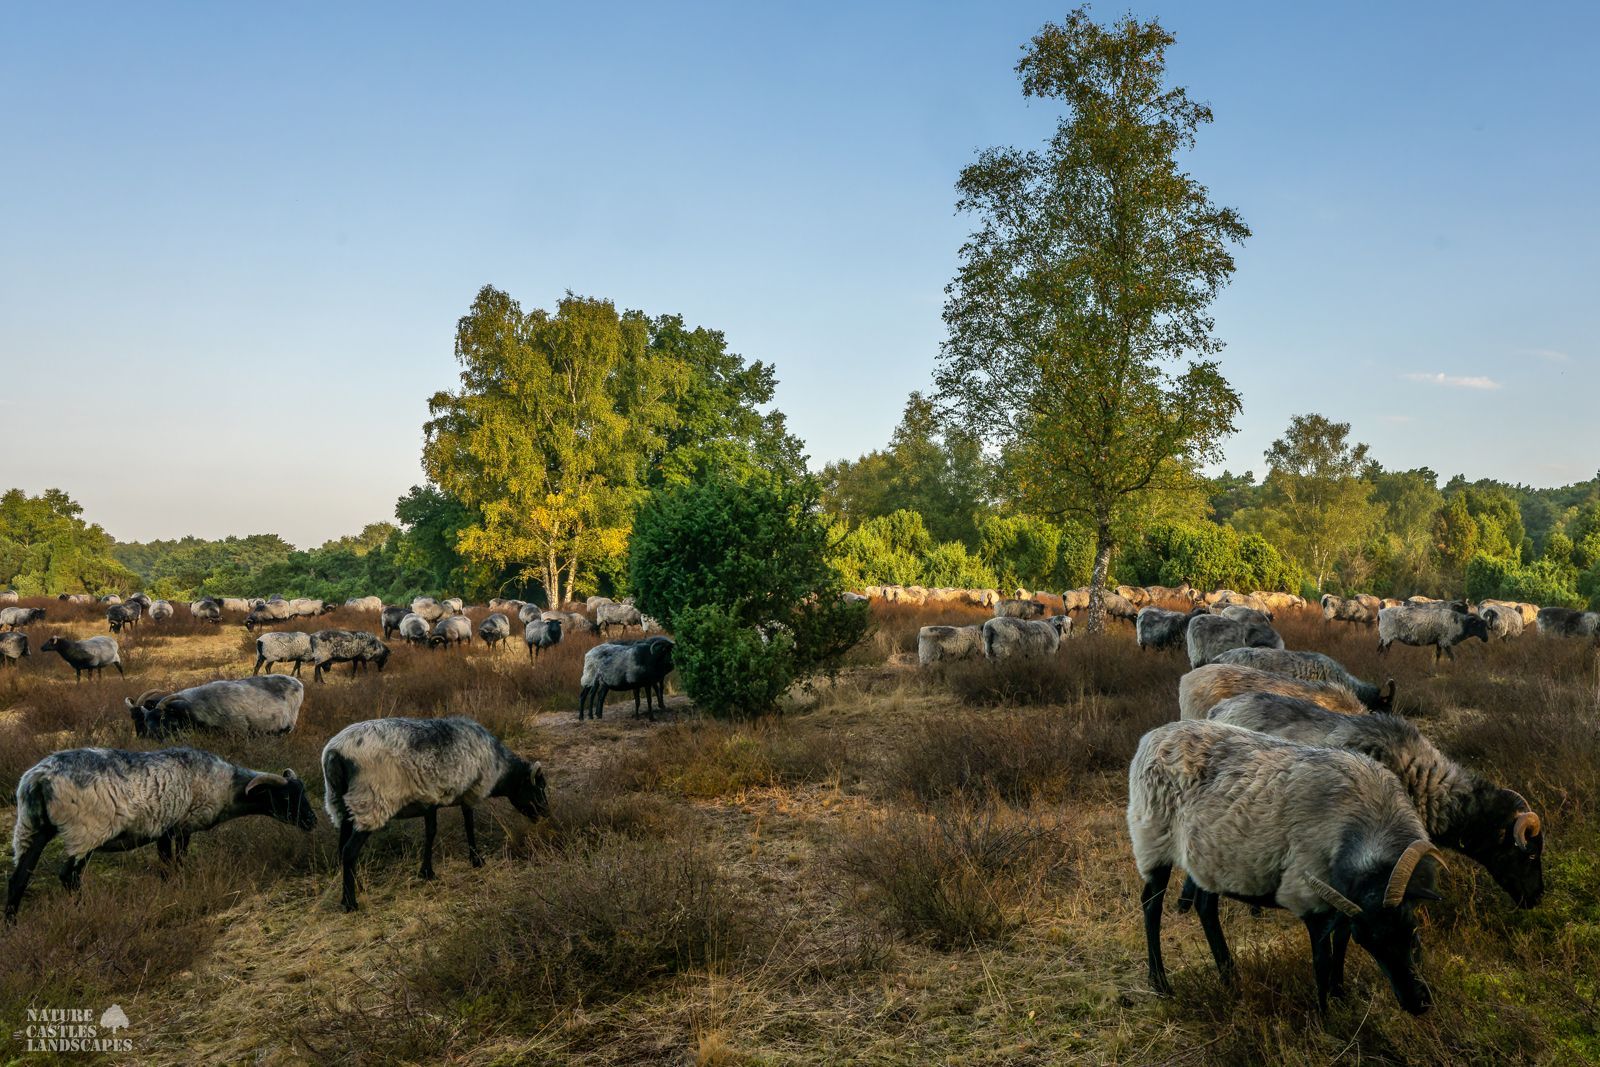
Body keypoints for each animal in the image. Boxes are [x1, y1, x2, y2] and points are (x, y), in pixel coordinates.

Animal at [6, 747, 316, 918]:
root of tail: (40, 777)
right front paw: (177, 886)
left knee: (19, 878)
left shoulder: (168, 828)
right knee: (68, 875)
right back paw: (82, 911)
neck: (226, 785)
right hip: (85, 830)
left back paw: (11, 924)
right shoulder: (179, 824)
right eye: (285, 797)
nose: (312, 822)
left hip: (31, 827)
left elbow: (169, 861)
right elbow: (174, 861)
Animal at [321, 716, 549, 911]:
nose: (546, 814)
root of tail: (335, 752)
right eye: (538, 787)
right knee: (349, 850)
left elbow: (431, 832)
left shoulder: (430, 799)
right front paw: (476, 860)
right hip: (371, 802)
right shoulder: (469, 791)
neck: (500, 767)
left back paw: (356, 889)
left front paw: (427, 872)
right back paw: (351, 902)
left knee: (342, 847)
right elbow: (467, 824)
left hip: (339, 803)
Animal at [1128, 719, 1445, 1015]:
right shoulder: (1308, 896)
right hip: (1152, 840)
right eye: (1369, 945)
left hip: (1210, 858)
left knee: (1205, 907)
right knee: (1151, 905)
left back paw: (1230, 977)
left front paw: (1340, 994)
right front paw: (1326, 1016)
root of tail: (1152, 736)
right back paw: (1160, 983)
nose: (1417, 1004)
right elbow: (1322, 958)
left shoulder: (1343, 901)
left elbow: (1340, 944)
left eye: (1412, 929)